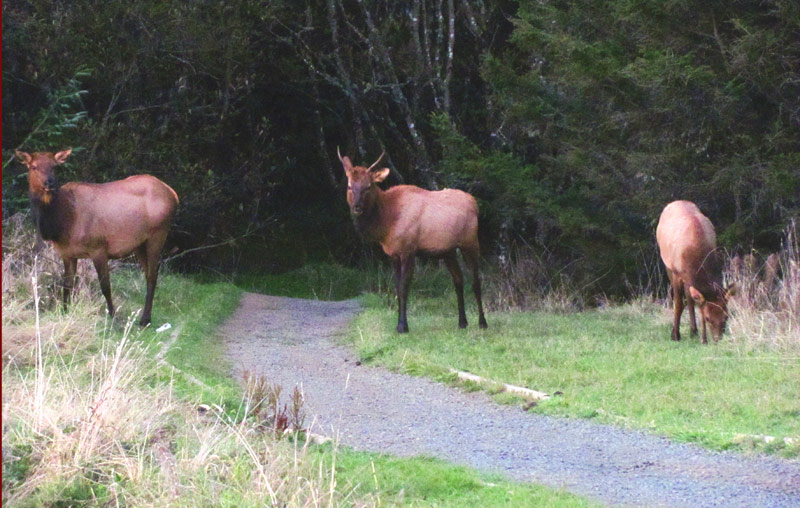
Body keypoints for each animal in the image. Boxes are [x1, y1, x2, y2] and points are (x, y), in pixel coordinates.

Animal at [15, 149, 179, 328]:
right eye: (33, 166)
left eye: (54, 166)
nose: (49, 183)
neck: (61, 223)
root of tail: (173, 194)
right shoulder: (67, 253)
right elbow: (67, 284)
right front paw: (64, 312)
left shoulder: (98, 248)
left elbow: (105, 285)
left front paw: (113, 317)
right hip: (140, 244)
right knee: (149, 273)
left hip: (158, 234)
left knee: (152, 275)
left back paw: (145, 319)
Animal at [338, 147, 488, 334]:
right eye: (350, 186)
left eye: (368, 186)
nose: (357, 207)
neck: (386, 223)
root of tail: (475, 203)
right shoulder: (393, 254)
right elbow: (396, 287)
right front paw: (398, 324)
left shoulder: (408, 250)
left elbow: (404, 287)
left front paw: (403, 326)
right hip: (448, 251)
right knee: (458, 280)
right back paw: (462, 322)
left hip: (471, 243)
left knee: (476, 281)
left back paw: (482, 322)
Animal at [660, 200, 736, 344]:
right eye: (708, 318)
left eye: (726, 316)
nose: (717, 340)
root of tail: (676, 201)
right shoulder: (677, 273)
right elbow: (678, 304)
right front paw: (675, 335)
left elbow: (698, 304)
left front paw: (703, 339)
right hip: (668, 265)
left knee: (690, 298)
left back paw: (693, 330)